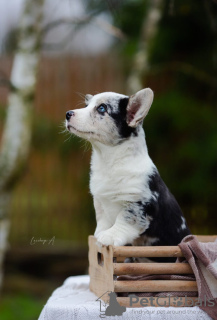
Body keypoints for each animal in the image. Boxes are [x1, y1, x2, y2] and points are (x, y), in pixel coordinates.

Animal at [65, 89, 191, 248]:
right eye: (87, 105)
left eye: (102, 108)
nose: (67, 114)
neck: (109, 160)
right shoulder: (100, 202)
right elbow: (102, 221)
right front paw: (99, 235)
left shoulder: (138, 202)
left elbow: (124, 220)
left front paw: (109, 236)